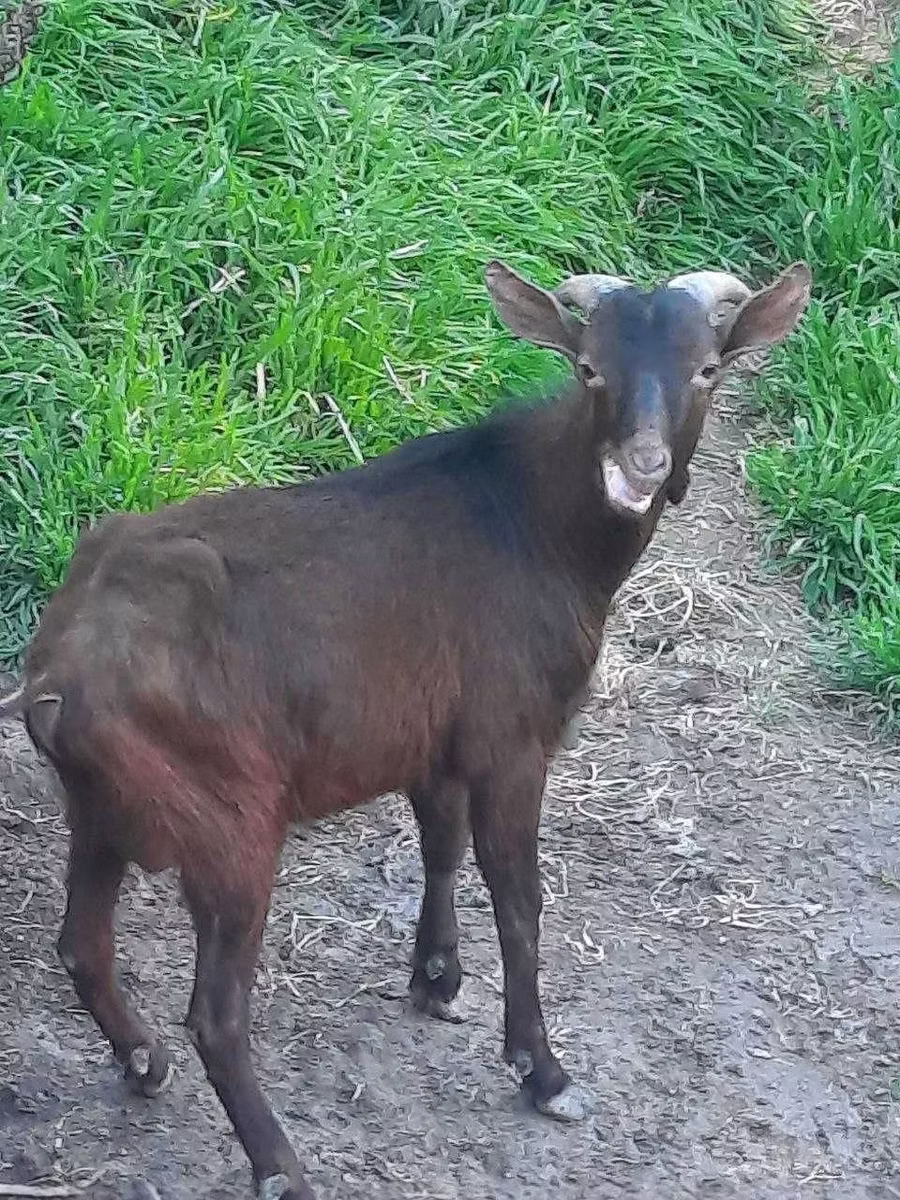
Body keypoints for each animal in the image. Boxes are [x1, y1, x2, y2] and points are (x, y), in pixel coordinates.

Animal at [0, 257, 811, 1199]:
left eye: (707, 370)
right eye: (589, 369)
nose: (639, 469)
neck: (537, 525)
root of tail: (56, 675)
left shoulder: (435, 741)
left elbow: (441, 845)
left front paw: (436, 981)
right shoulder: (511, 741)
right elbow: (520, 900)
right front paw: (544, 1073)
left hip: (100, 806)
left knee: (83, 946)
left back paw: (144, 1065)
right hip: (228, 822)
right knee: (216, 1013)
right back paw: (282, 1166)